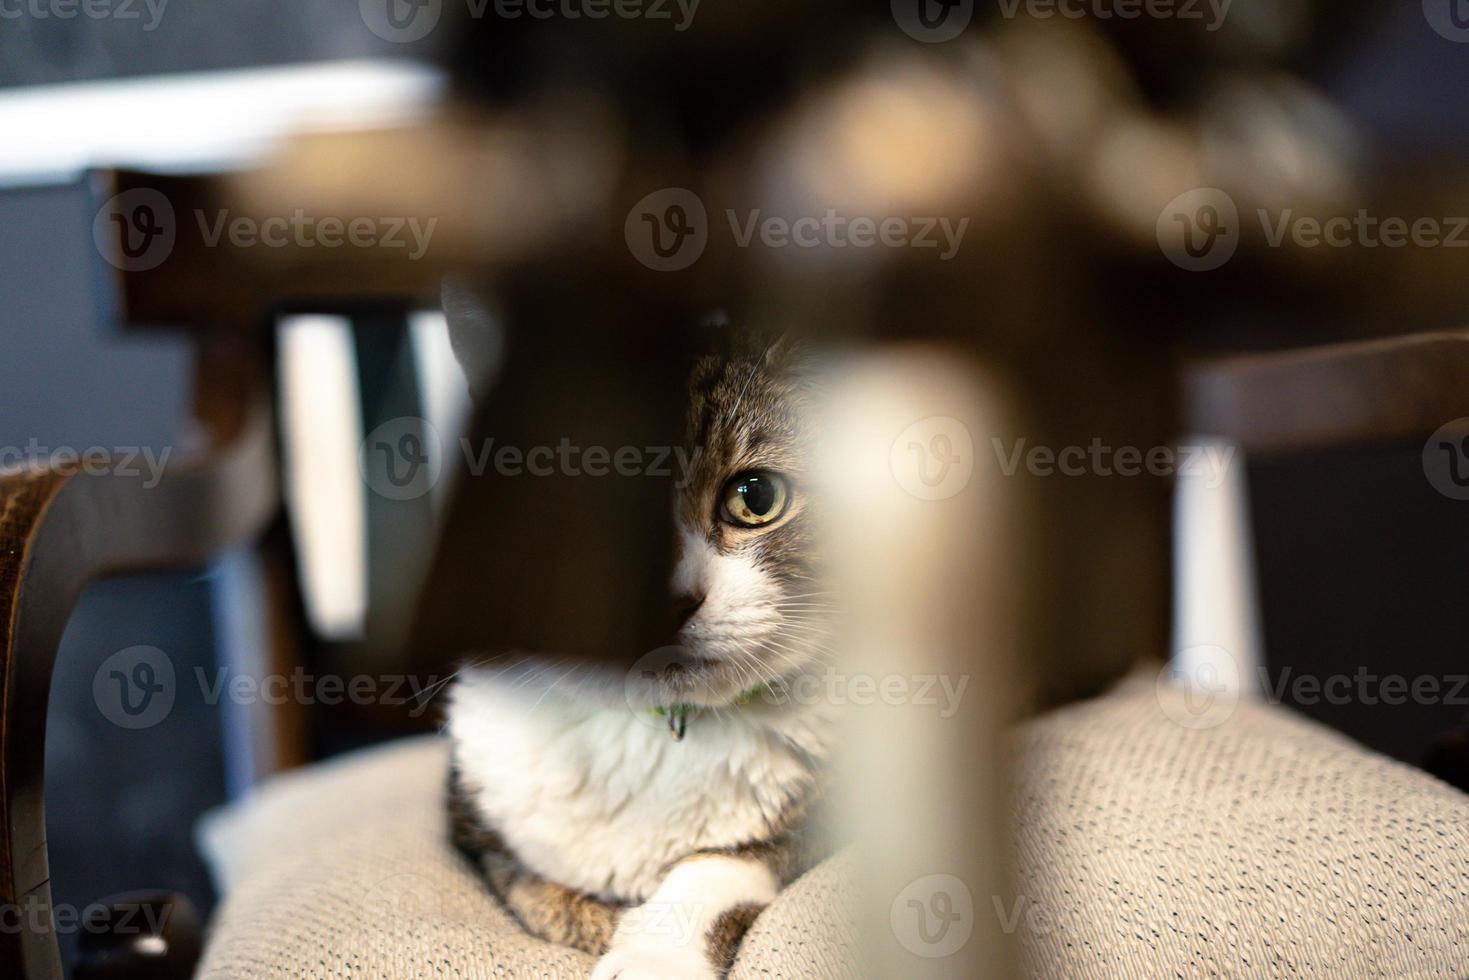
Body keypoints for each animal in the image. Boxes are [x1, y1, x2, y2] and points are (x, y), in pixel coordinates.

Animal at [440, 279, 840, 975]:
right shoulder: (479, 823)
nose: (665, 602)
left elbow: (727, 863)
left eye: (756, 497)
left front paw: (652, 955)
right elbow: (536, 891)